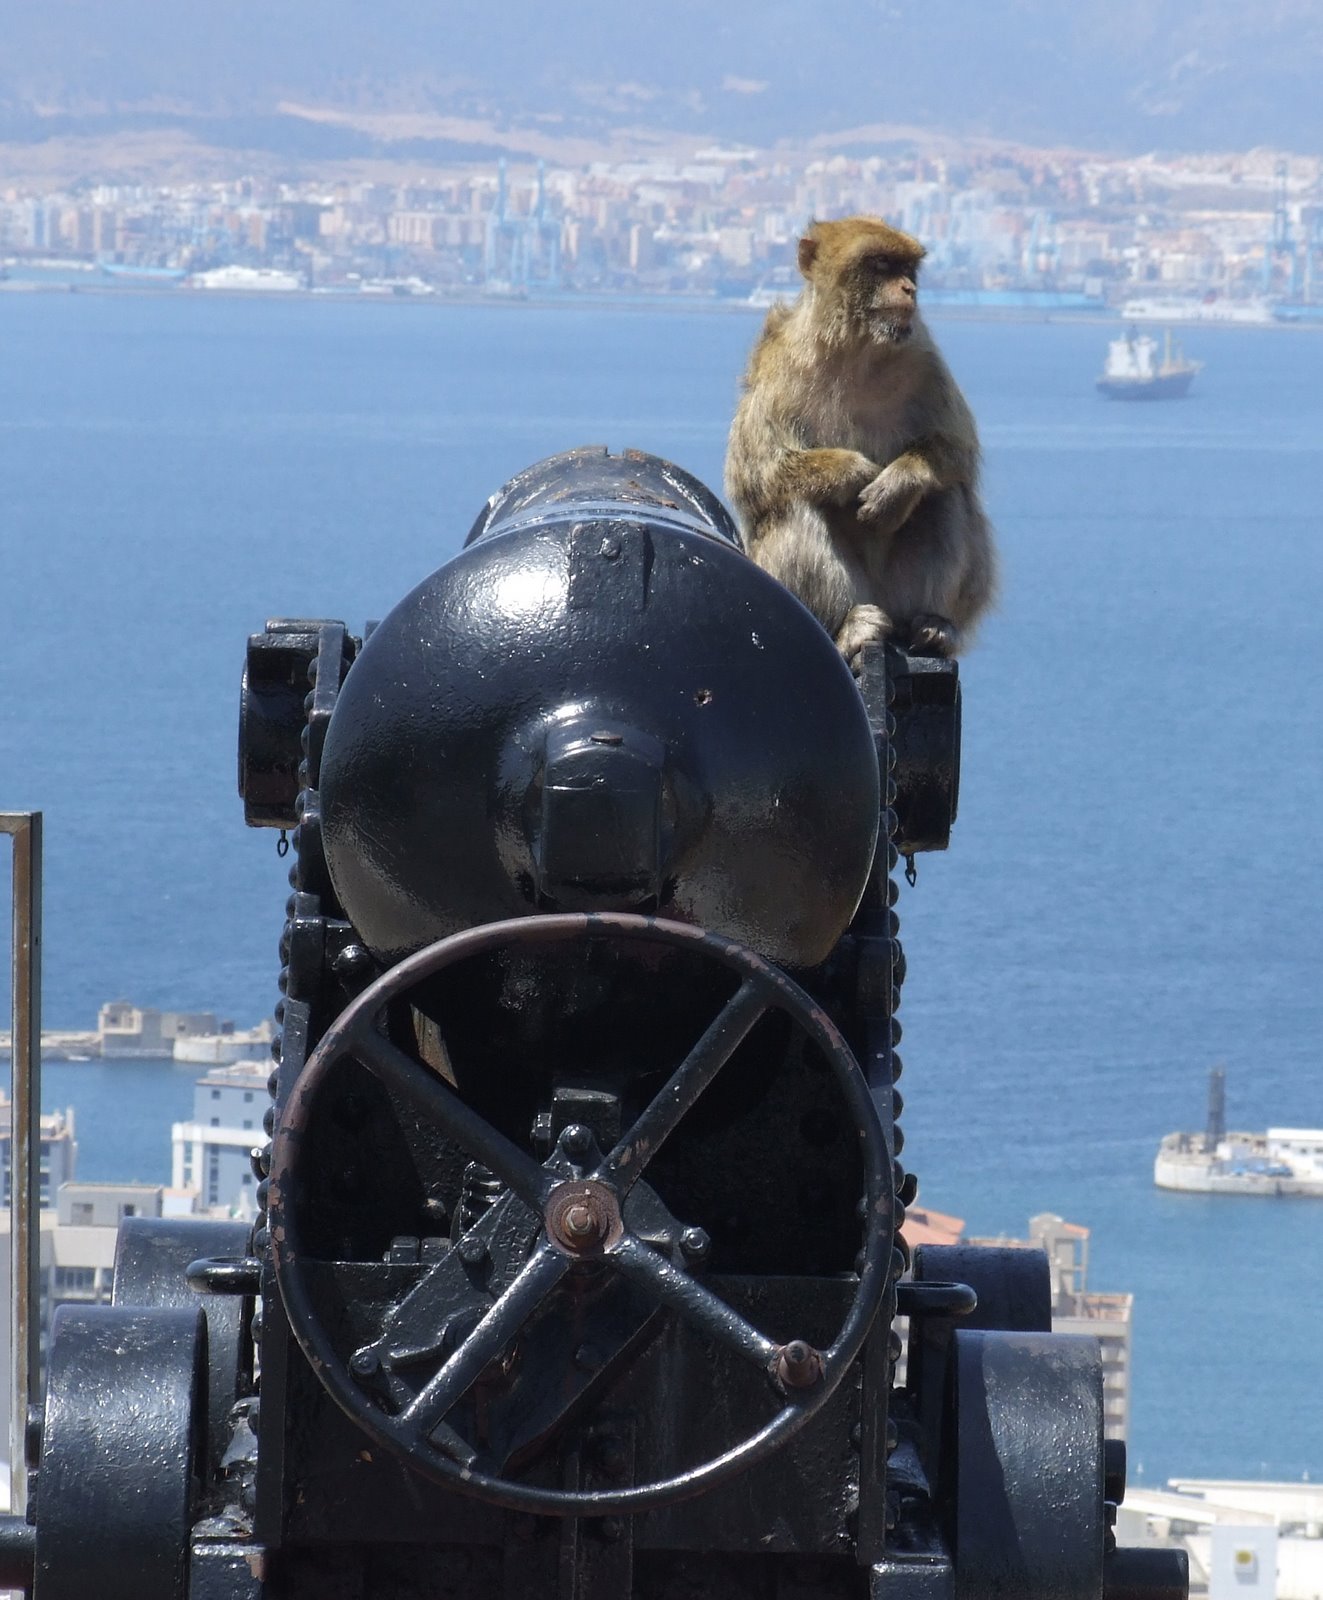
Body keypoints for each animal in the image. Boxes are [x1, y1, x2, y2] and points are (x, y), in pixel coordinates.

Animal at [724, 216, 996, 663]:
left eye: (908, 268)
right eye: (881, 263)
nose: (909, 290)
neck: (857, 351)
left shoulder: (925, 359)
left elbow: (958, 451)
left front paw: (898, 483)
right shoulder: (777, 372)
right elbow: (756, 475)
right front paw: (851, 471)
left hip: (908, 593)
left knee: (945, 495)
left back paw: (934, 625)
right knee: (792, 503)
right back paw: (848, 626)